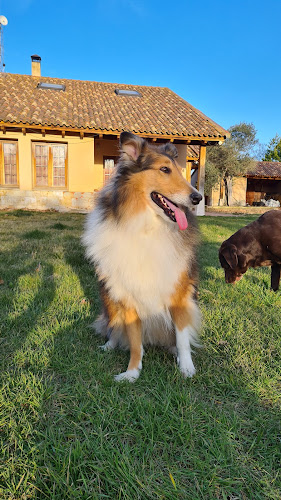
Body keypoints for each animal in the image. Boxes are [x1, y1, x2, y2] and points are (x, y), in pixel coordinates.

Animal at [82, 131, 202, 380]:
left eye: (180, 170)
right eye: (164, 169)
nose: (198, 198)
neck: (147, 227)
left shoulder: (178, 294)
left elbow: (182, 337)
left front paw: (187, 368)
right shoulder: (128, 298)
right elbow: (135, 342)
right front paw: (131, 373)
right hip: (110, 299)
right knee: (113, 326)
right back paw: (109, 345)